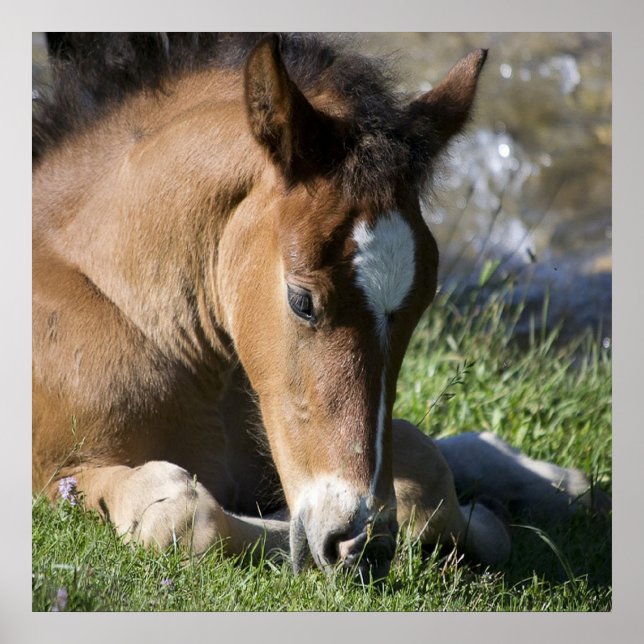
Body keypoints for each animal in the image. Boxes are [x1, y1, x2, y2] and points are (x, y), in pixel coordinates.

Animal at [32, 32, 606, 581]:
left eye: (423, 305)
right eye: (301, 301)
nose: (360, 544)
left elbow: (420, 459)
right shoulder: (57, 474)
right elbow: (185, 514)